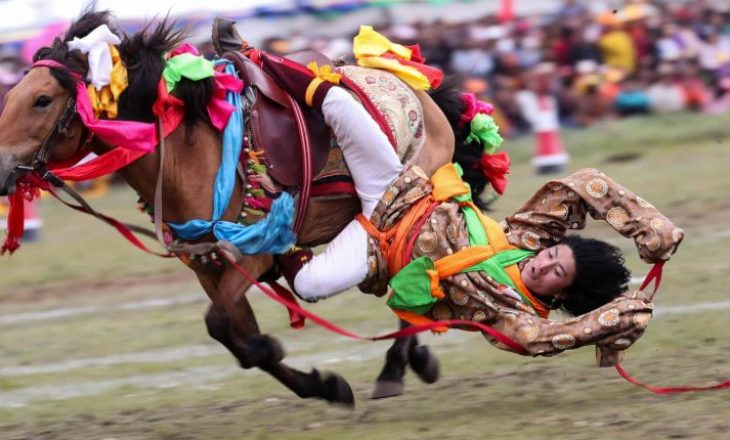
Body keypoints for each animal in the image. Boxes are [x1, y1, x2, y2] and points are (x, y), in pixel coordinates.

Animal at [0, 10, 478, 406]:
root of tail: (417, 89)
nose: (3, 170)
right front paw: (322, 385)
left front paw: (280, 353)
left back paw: (395, 367)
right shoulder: (210, 266)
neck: (190, 153)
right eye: (11, 96)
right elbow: (234, 334)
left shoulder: (253, 252)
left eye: (42, 100)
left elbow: (221, 325)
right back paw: (416, 356)